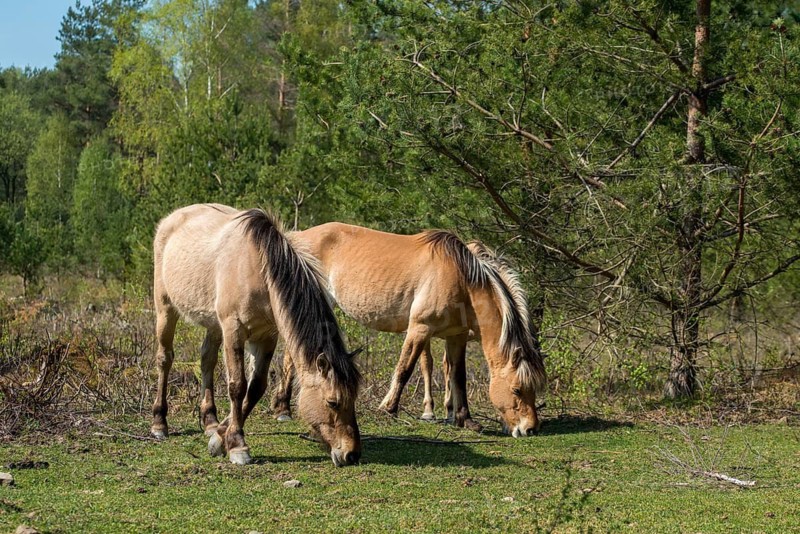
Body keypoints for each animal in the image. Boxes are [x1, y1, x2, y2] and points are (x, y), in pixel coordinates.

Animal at [151, 204, 362, 466]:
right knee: (165, 359)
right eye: (332, 402)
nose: (352, 454)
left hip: (213, 324)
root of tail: (172, 218)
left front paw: (220, 436)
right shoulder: (233, 330)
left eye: (354, 398)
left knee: (207, 360)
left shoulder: (267, 336)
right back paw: (159, 423)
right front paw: (237, 445)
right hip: (165, 309)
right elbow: (238, 386)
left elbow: (256, 388)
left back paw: (209, 421)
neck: (258, 269)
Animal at [272, 223, 546, 437]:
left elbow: (458, 376)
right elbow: (405, 369)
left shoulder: (456, 337)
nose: (530, 428)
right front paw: (388, 408)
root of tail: (295, 238)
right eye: (517, 389)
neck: (461, 279)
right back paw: (283, 408)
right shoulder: (419, 329)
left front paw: (464, 420)